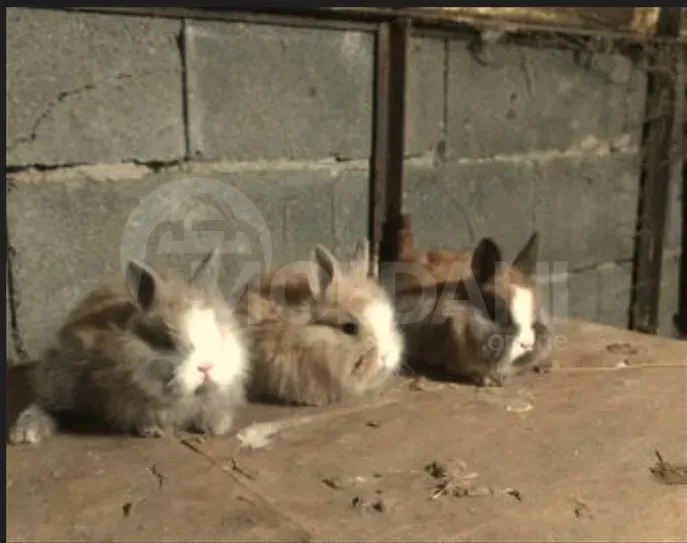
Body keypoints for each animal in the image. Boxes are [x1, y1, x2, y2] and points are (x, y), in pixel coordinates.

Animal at [8, 248, 250, 445]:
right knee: (46, 403)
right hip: (60, 376)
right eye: (165, 340)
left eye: (217, 329)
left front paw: (217, 425)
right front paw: (154, 430)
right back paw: (26, 433)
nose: (206, 367)